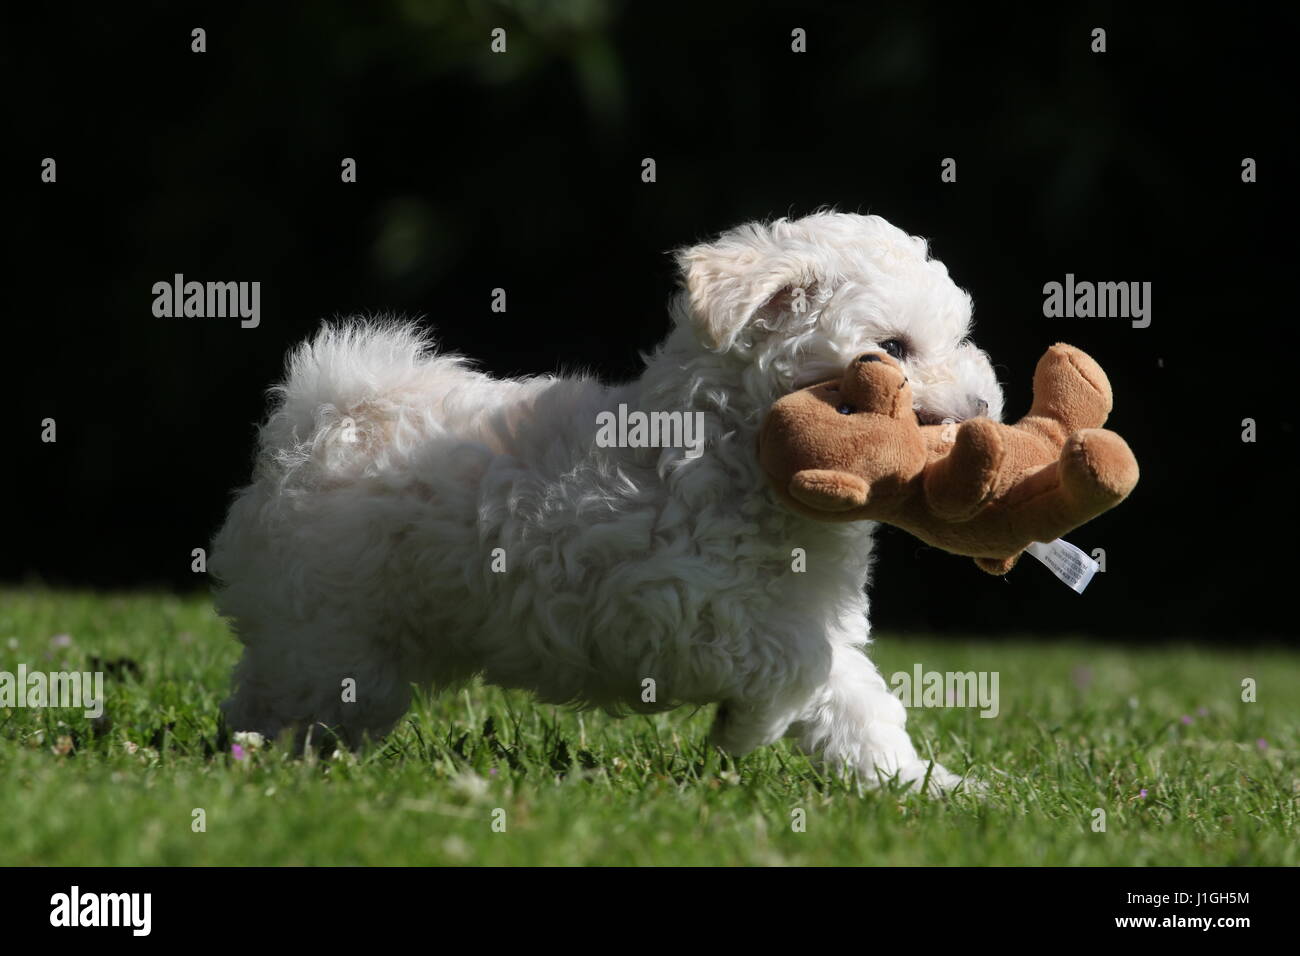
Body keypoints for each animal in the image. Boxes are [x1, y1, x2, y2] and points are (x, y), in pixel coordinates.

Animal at [215, 210, 1003, 790]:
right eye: (891, 349)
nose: (983, 408)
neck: (735, 443)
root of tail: (325, 418)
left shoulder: (797, 609)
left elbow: (856, 700)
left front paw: (921, 785)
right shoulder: (682, 601)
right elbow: (809, 669)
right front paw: (745, 731)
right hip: (337, 633)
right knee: (299, 697)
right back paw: (267, 765)